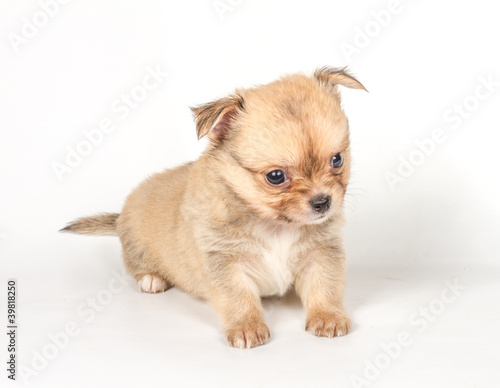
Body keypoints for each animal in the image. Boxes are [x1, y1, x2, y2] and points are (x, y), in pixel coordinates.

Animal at [62, 66, 368, 348]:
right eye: (276, 177)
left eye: (337, 159)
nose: (322, 202)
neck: (275, 225)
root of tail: (120, 216)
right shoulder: (225, 263)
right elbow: (239, 298)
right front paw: (247, 327)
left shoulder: (321, 253)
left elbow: (324, 287)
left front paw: (327, 317)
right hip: (137, 245)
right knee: (136, 265)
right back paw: (151, 279)